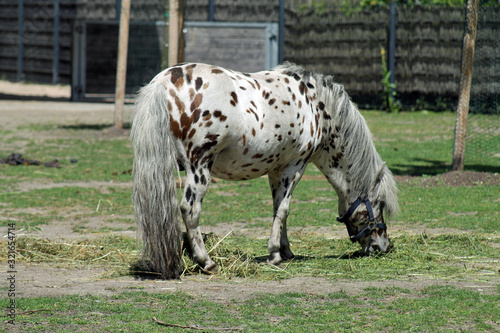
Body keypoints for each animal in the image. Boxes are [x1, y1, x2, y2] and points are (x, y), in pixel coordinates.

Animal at [132, 61, 398, 278]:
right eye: (379, 204)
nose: (383, 246)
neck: (316, 107)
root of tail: (164, 82)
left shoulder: (276, 170)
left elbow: (278, 210)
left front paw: (286, 250)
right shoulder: (294, 167)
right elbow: (283, 209)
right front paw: (275, 255)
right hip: (199, 169)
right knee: (190, 209)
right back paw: (206, 262)